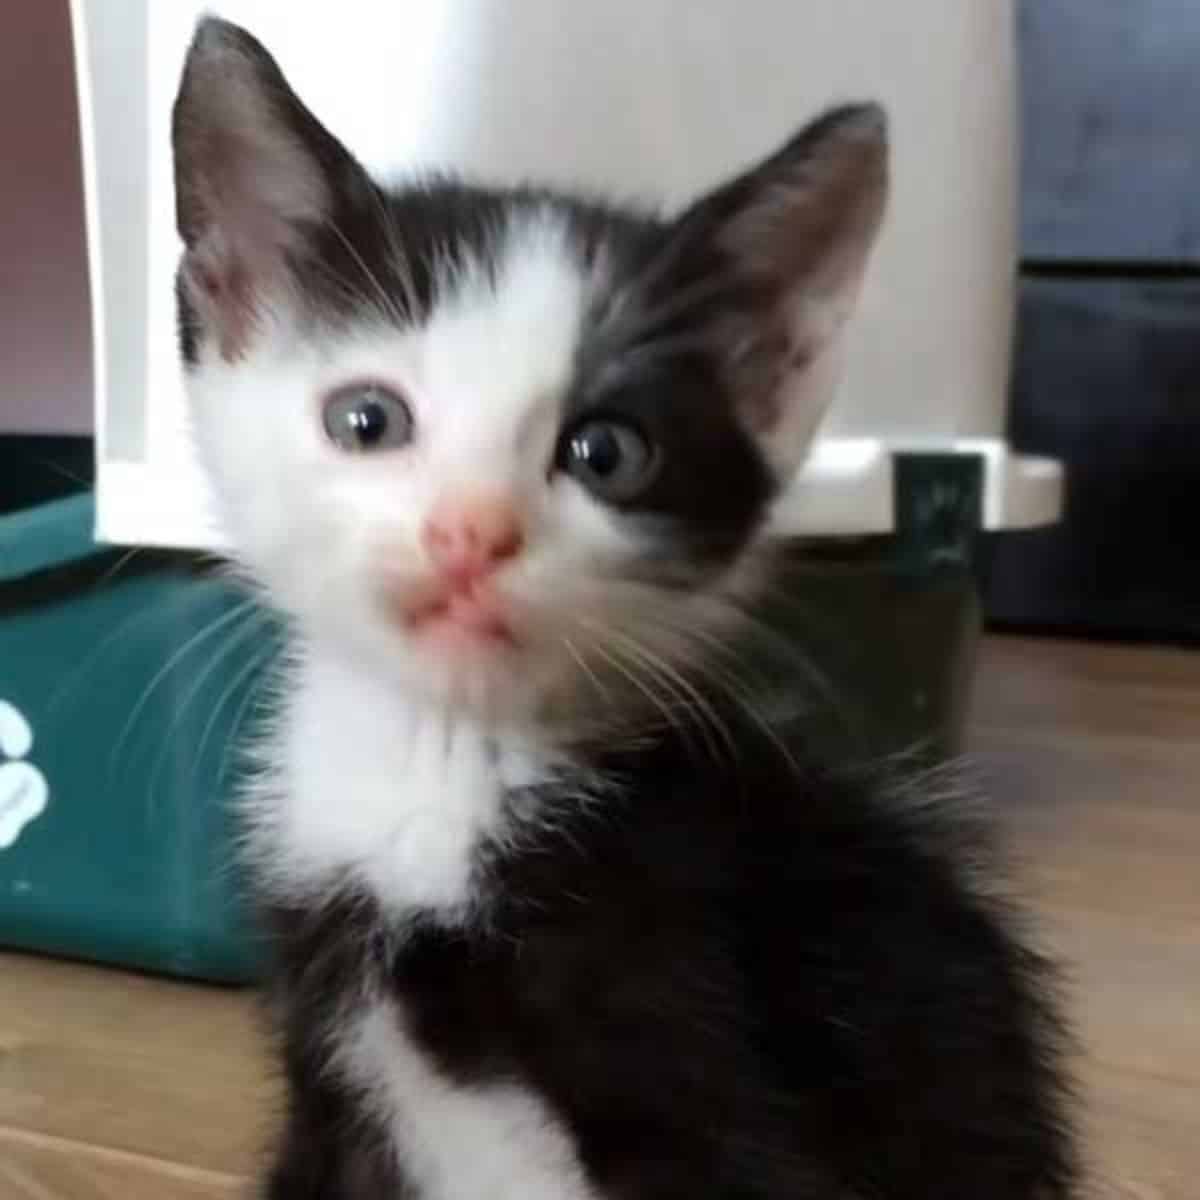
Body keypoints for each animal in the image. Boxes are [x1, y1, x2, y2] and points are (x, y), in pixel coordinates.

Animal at [171, 18, 1080, 1200]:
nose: (471, 532)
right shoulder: (332, 1078)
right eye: (366, 420)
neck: (442, 777)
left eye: (605, 451)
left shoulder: (716, 1054)